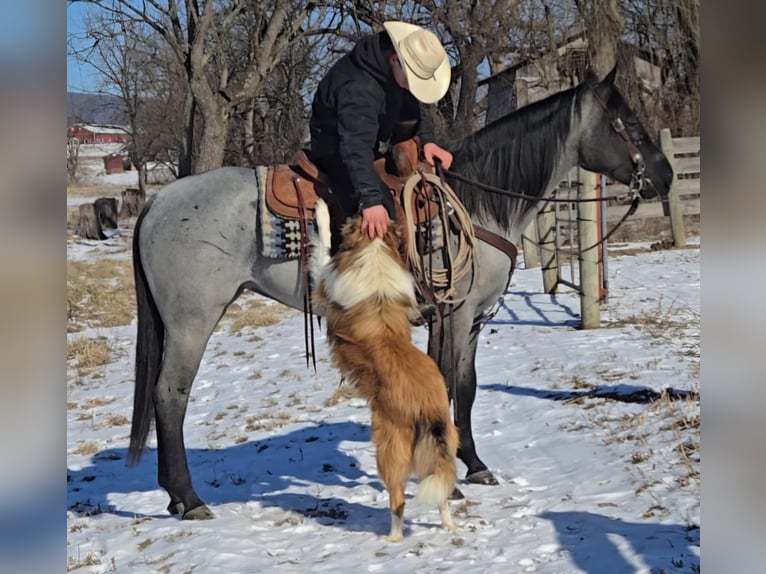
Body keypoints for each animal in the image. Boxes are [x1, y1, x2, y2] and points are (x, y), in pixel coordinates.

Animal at [312, 200, 462, 544]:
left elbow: (322, 250)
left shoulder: (324, 287)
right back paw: (449, 525)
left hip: (389, 450)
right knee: (441, 490)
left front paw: (321, 212)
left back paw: (392, 537)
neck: (375, 252)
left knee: (398, 500)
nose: (362, 207)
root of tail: (428, 407)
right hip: (443, 445)